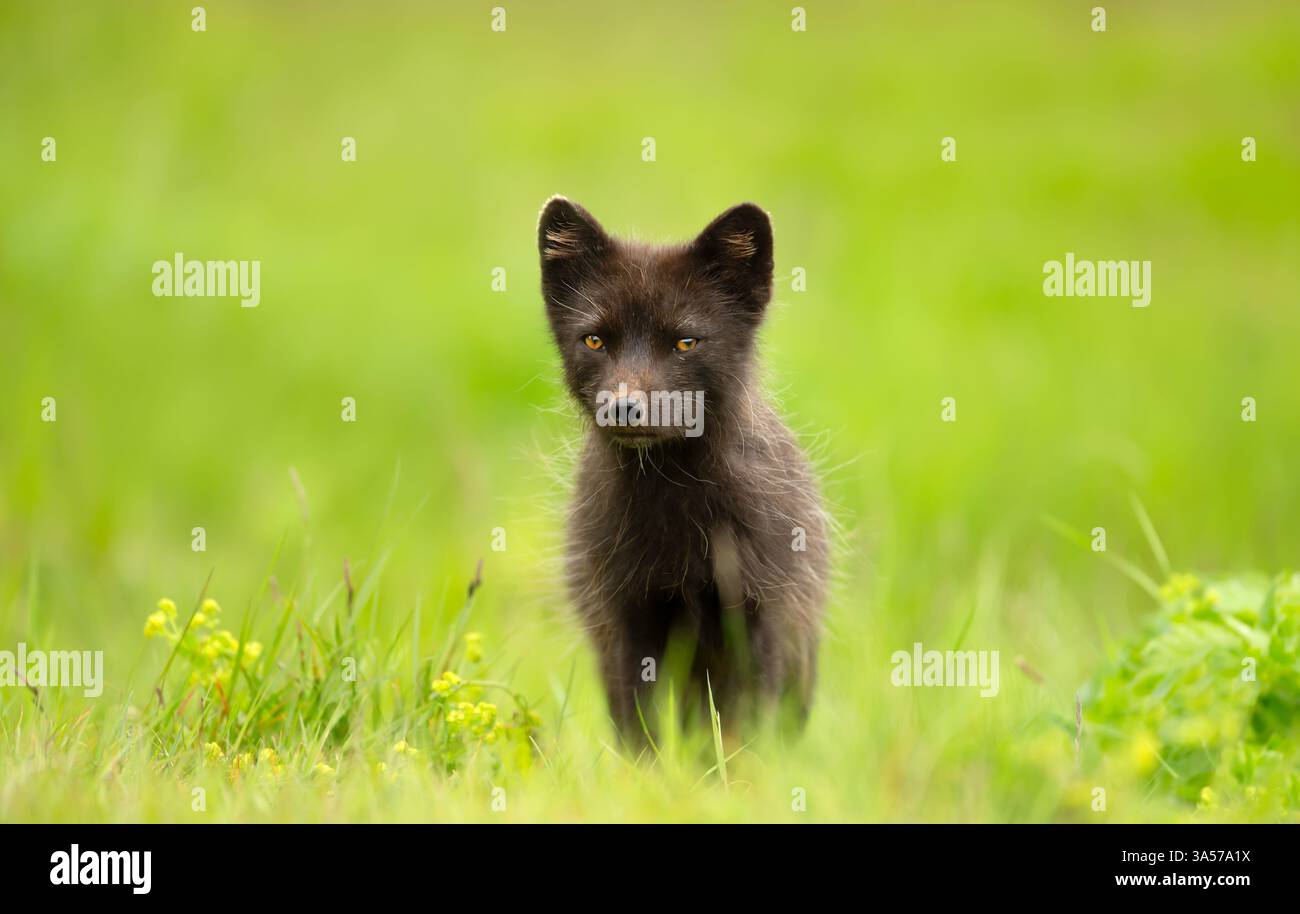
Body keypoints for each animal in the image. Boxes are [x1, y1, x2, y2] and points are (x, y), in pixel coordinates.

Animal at [537, 196, 829, 740]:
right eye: (594, 340)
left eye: (685, 342)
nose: (624, 407)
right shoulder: (626, 616)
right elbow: (641, 727)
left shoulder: (761, 614)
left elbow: (747, 728)